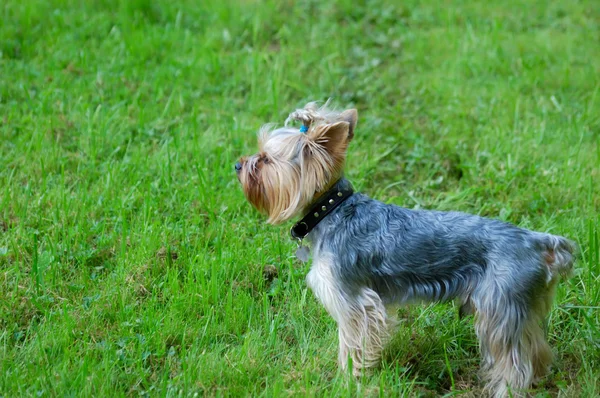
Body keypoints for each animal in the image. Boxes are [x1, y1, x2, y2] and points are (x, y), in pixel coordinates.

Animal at [234, 101, 576, 396]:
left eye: (265, 159)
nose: (237, 164)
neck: (332, 210)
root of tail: (538, 242)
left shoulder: (354, 303)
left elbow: (351, 344)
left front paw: (346, 382)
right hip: (522, 306)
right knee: (536, 349)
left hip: (500, 306)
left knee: (514, 363)